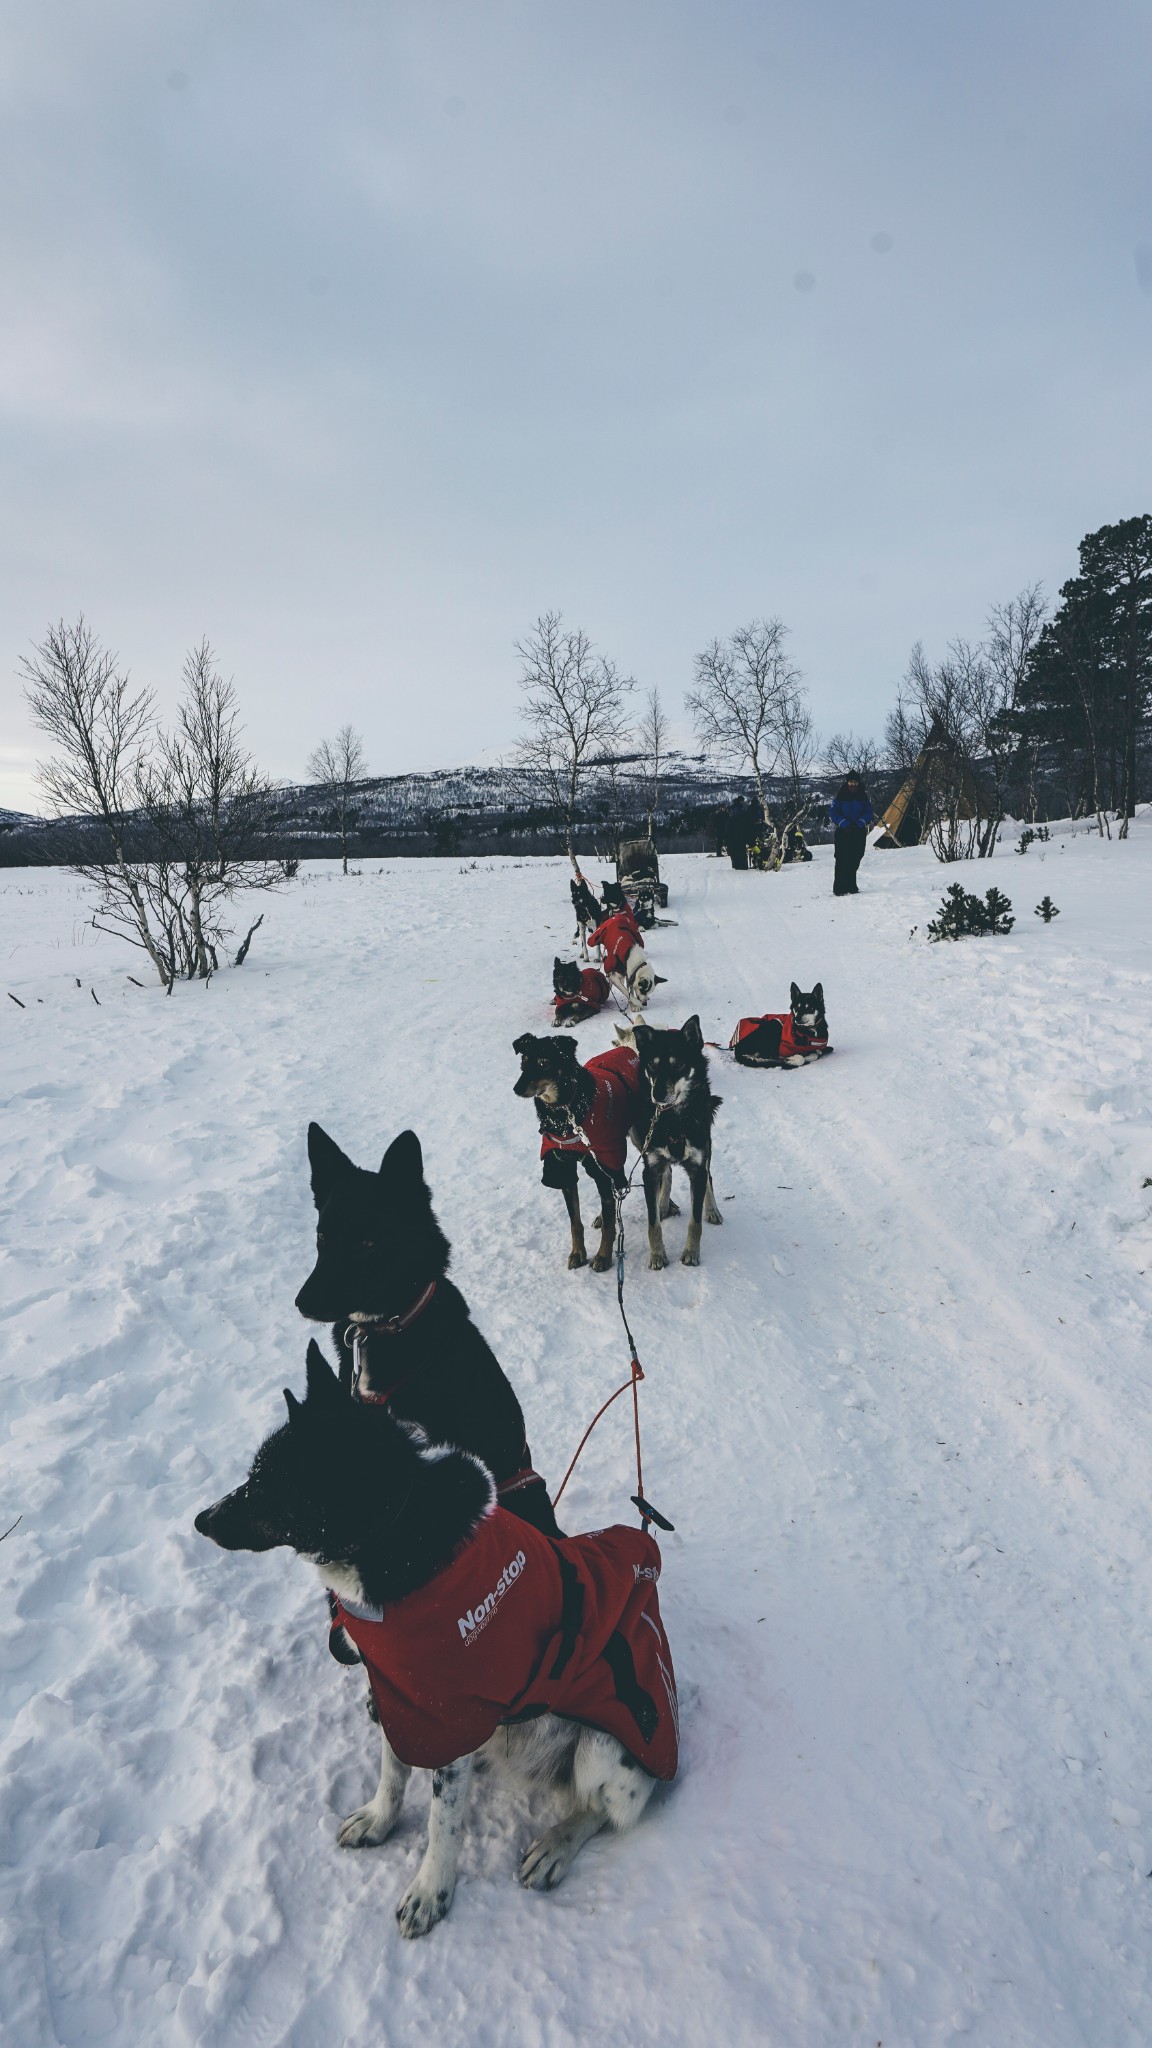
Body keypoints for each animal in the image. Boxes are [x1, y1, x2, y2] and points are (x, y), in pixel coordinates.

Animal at [188, 1343, 672, 1933]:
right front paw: (380, 1819)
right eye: (252, 1475)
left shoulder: (448, 1710)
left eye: (267, 1486)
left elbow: (444, 1822)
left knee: (603, 1809)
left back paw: (556, 1845)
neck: (397, 1536)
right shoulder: (400, 1696)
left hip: (608, 1747)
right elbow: (393, 1771)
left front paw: (430, 1890)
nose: (201, 1519)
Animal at [512, 1032, 639, 1269]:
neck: (565, 1113)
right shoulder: (562, 1168)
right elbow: (575, 1222)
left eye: (544, 1061)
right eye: (524, 1061)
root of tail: (628, 1050)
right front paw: (578, 1252)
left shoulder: (604, 1164)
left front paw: (603, 1256)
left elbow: (610, 1225)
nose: (517, 1088)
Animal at [610, 1011, 717, 1261]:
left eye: (678, 1063)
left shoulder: (698, 1167)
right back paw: (663, 1205)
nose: (657, 1094)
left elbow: (695, 1221)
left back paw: (711, 1209)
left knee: (709, 1177)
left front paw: (691, 1253)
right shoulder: (650, 1170)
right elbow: (653, 1224)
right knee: (667, 1173)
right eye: (652, 1064)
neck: (674, 1121)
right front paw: (657, 1255)